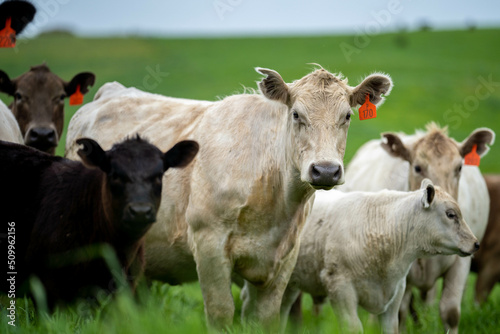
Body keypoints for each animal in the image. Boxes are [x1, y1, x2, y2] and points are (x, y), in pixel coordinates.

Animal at [64, 66, 394, 328]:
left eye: (347, 116)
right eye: (296, 114)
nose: (325, 170)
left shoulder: (284, 258)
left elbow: (265, 318)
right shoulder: (208, 244)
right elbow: (221, 312)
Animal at [284, 180, 478, 334]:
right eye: (451, 214)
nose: (476, 244)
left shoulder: (396, 292)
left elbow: (391, 328)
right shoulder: (339, 287)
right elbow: (354, 327)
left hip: (290, 284)